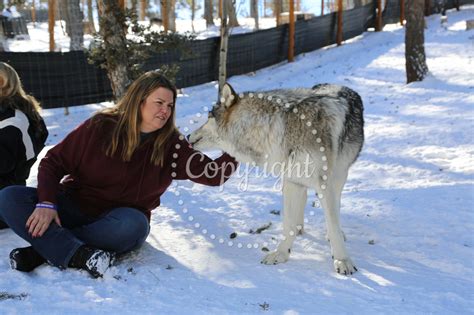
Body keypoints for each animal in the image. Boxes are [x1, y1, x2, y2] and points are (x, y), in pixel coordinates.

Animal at [187, 82, 364, 276]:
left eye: (208, 116)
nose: (187, 136)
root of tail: (338, 85)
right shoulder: (291, 181)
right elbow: (288, 224)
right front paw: (281, 254)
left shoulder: (324, 184)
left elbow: (332, 224)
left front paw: (342, 260)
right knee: (302, 201)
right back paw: (300, 228)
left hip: (338, 177)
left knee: (335, 208)